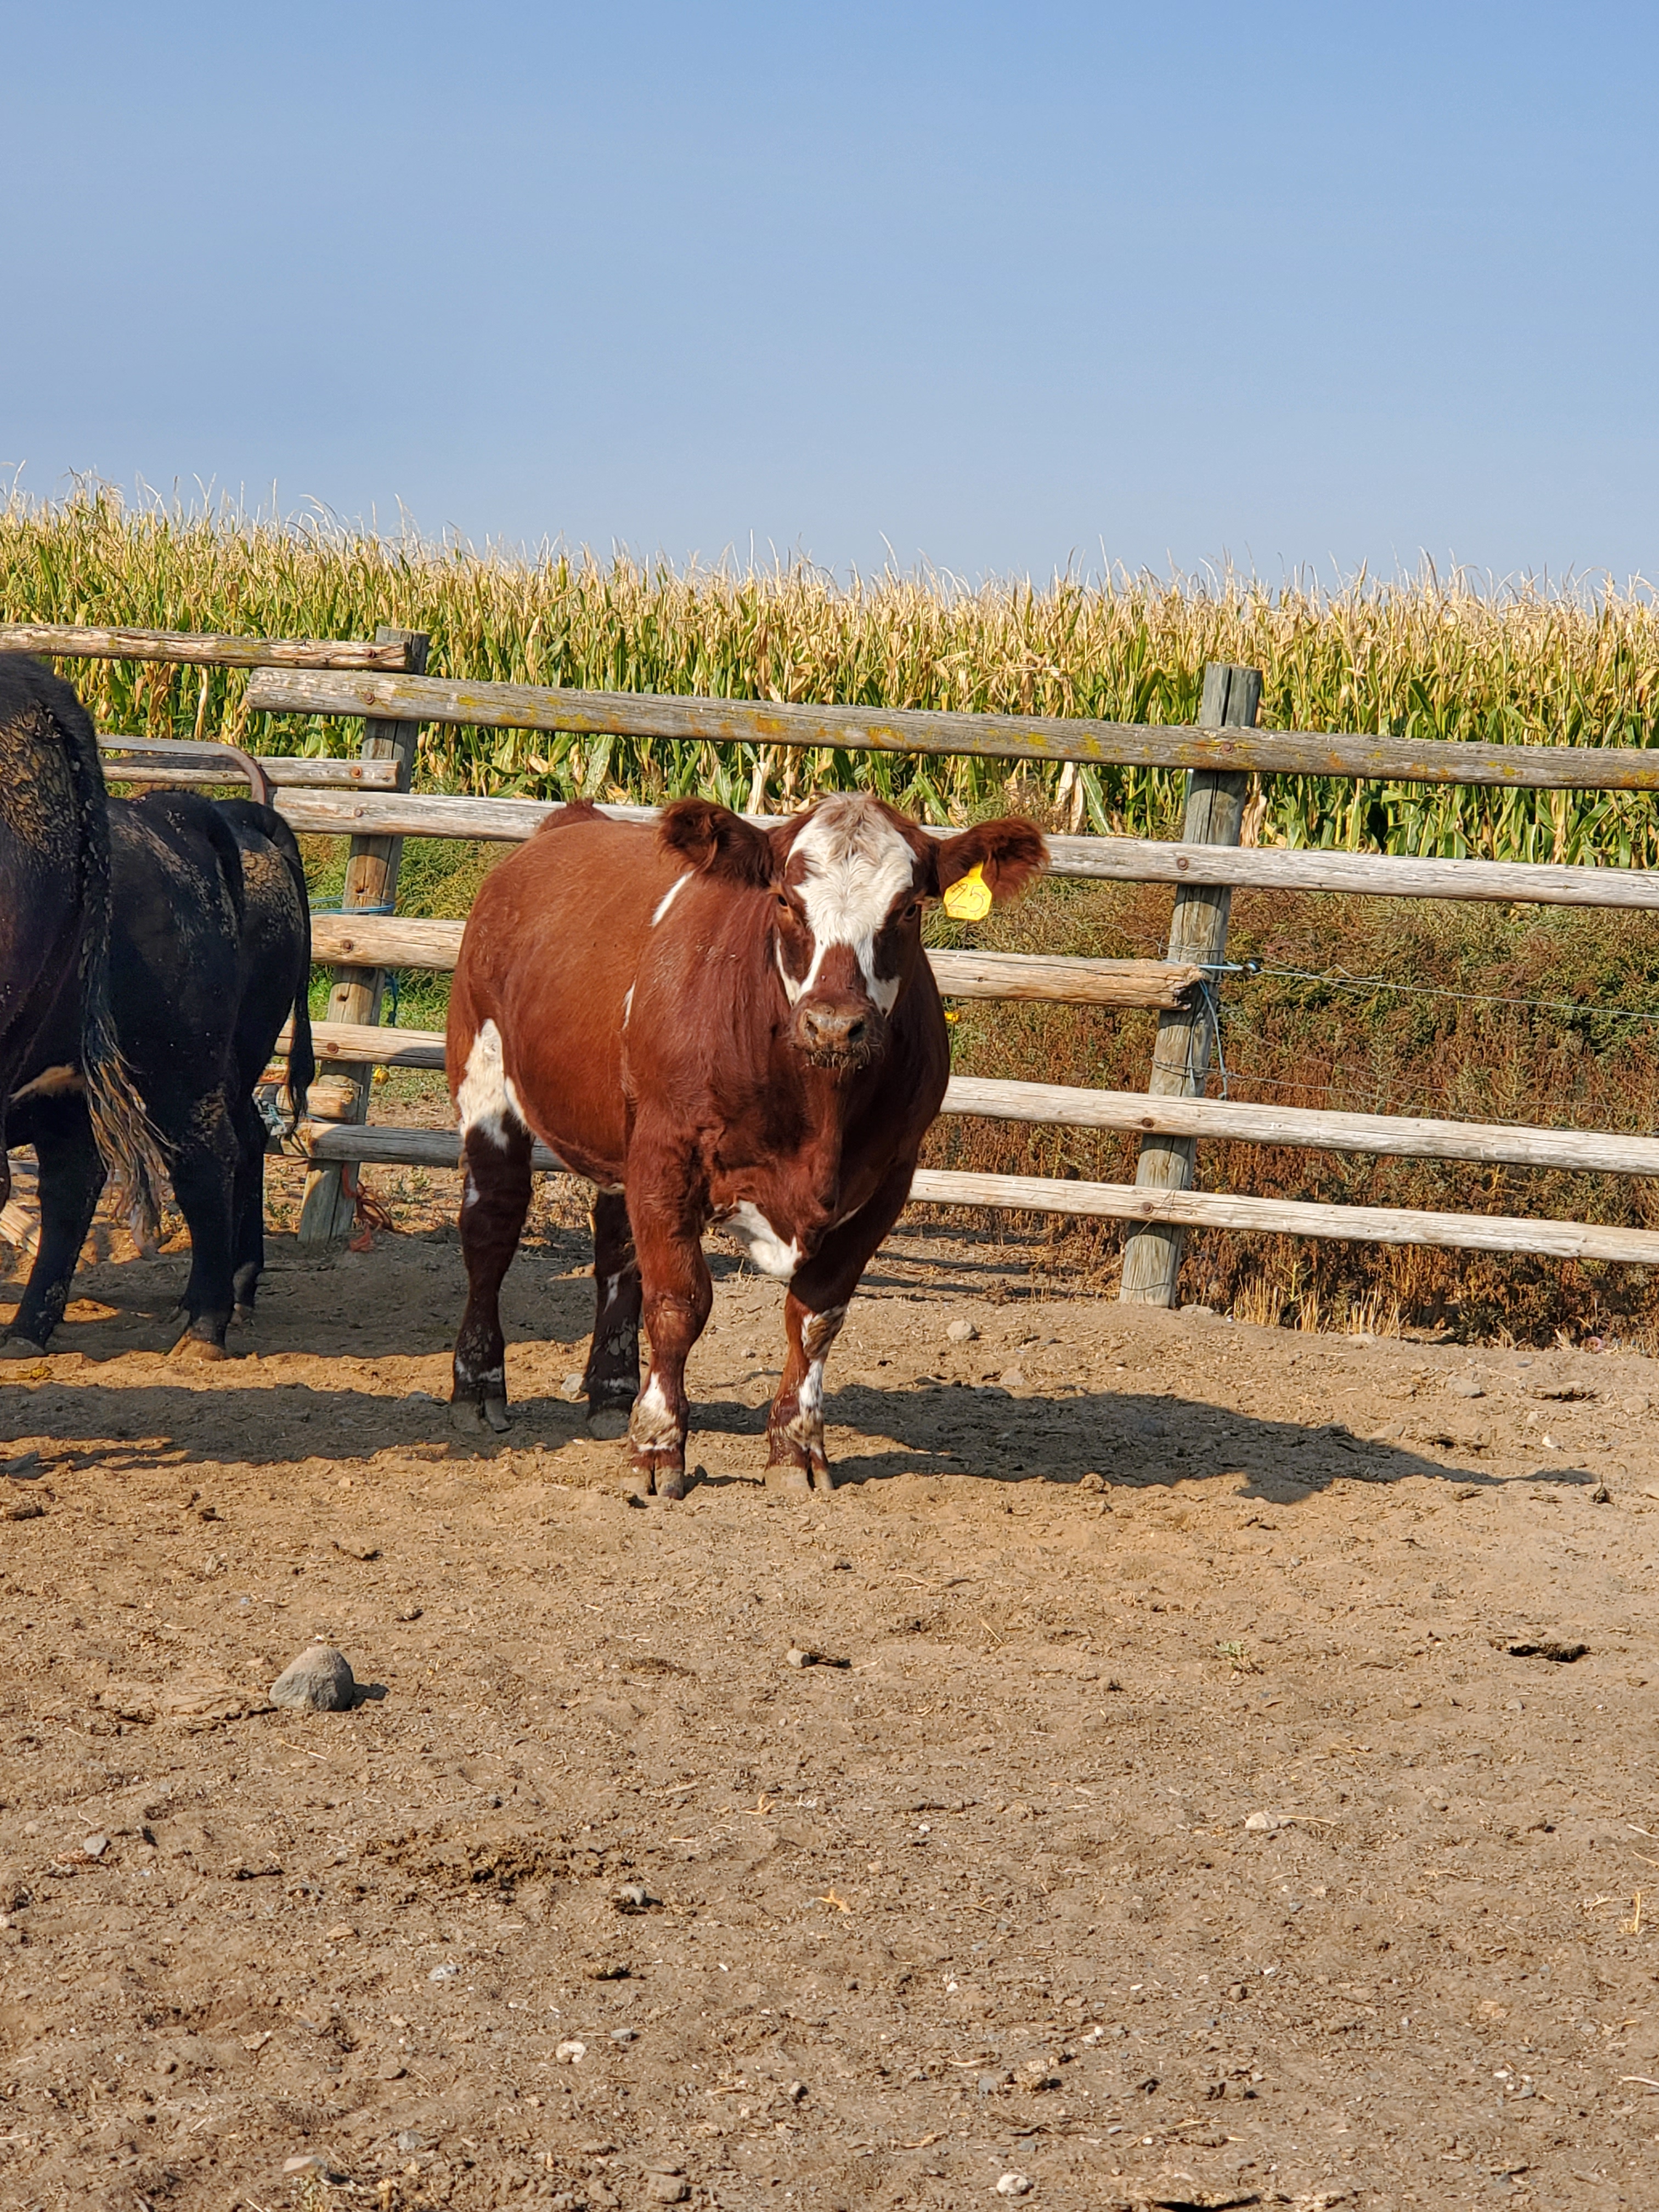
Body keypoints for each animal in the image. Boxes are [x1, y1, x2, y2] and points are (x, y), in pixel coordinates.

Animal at [446, 792, 1046, 1497]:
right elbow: (678, 1302)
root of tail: (570, 821)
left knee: (616, 1247)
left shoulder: (888, 1179)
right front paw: (657, 1449)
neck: (819, 1117)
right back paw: (480, 1387)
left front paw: (796, 1450)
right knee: (492, 1226)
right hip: (484, 1073)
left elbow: (816, 1316)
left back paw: (613, 1392)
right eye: (785, 899)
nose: (834, 1025)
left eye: (907, 908)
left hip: (624, 1135)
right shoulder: (668, 1152)